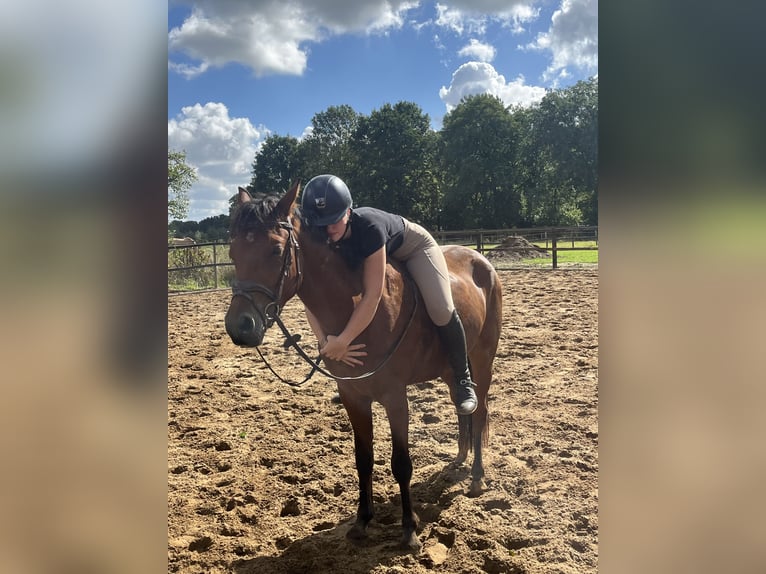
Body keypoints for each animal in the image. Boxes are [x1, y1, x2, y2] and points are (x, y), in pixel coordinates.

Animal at [224, 181, 503, 551]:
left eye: (274, 250)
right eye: (233, 252)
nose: (239, 327)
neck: (354, 311)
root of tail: (481, 260)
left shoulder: (395, 397)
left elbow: (401, 464)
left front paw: (409, 530)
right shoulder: (353, 396)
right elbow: (363, 460)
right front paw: (362, 521)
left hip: (483, 359)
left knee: (480, 409)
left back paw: (476, 476)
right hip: (451, 368)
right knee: (462, 405)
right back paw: (458, 458)